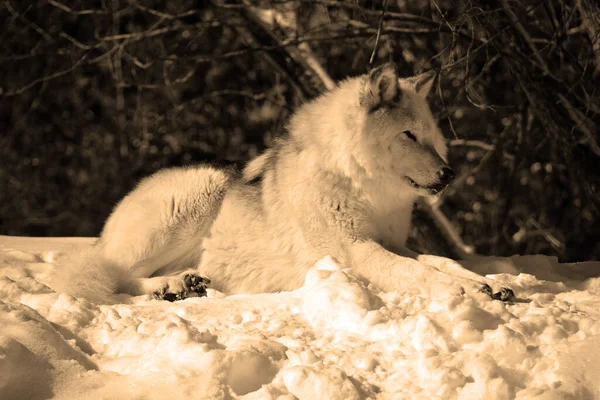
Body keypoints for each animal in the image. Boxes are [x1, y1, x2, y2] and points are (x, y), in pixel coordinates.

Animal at [49, 62, 512, 302]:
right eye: (409, 135)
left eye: (430, 135)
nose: (449, 175)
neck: (362, 190)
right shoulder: (356, 251)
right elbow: (420, 273)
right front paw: (466, 292)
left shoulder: (393, 243)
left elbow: (440, 261)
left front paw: (488, 283)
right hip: (199, 192)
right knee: (115, 277)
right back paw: (172, 286)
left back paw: (187, 283)